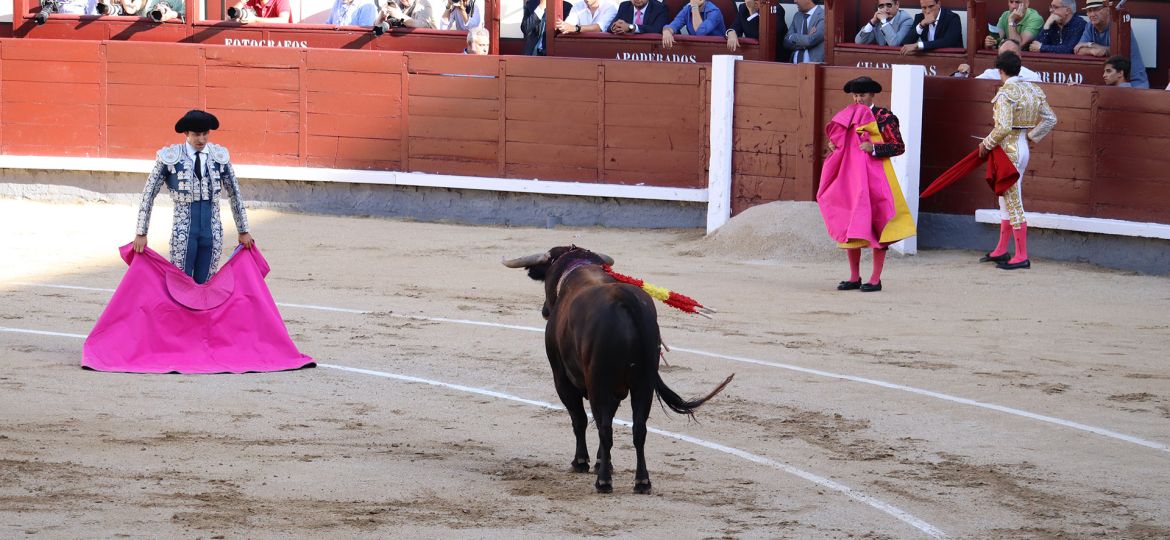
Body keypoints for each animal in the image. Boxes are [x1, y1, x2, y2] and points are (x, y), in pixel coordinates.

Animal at [503, 244, 730, 493]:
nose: (545, 311)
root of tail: (624, 299)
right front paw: (602, 462)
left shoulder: (562, 379)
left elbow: (580, 419)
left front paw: (582, 462)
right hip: (643, 384)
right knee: (638, 428)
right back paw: (642, 481)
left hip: (598, 382)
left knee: (604, 427)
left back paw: (603, 482)